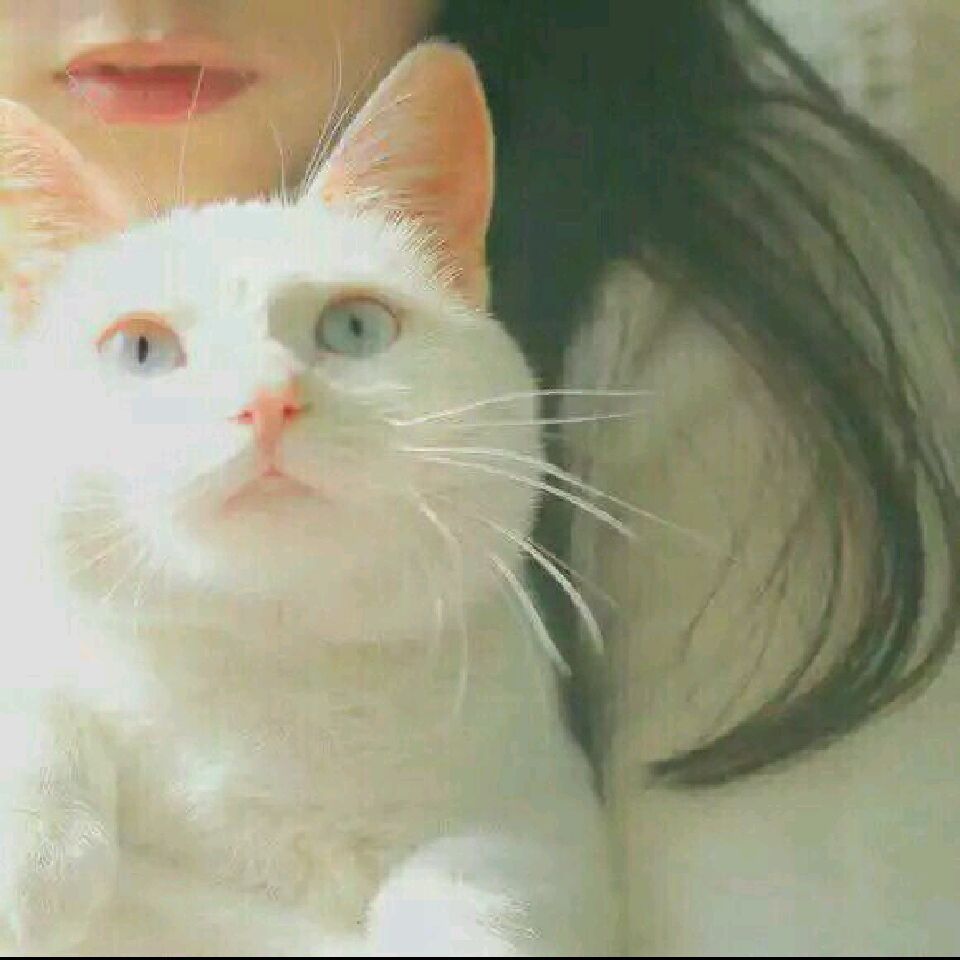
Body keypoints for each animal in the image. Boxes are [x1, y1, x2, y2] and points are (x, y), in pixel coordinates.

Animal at [0, 43, 616, 956]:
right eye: (142, 349)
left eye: (354, 329)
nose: (267, 400)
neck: (273, 687)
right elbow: (36, 683)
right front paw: (34, 852)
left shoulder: (548, 811)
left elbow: (480, 887)